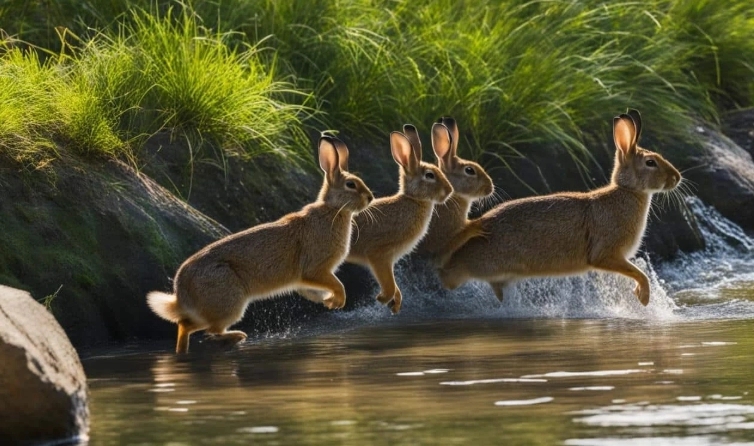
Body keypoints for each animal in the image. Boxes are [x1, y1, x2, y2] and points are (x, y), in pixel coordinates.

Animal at [147, 135, 374, 353]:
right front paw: (339, 300)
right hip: (229, 302)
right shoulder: (316, 269)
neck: (333, 210)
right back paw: (236, 336)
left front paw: (329, 302)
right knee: (202, 328)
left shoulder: (304, 280)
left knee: (186, 325)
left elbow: (312, 292)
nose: (370, 198)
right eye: (351, 185)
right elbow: (336, 283)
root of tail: (181, 293)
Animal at [346, 125, 453, 313]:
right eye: (430, 175)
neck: (413, 200)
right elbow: (388, 283)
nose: (449, 191)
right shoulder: (379, 255)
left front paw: (395, 304)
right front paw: (382, 299)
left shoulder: (388, 262)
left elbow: (393, 283)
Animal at [439, 109, 681, 306]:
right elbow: (639, 273)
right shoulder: (606, 253)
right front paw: (644, 298)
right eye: (650, 163)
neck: (627, 191)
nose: (677, 178)